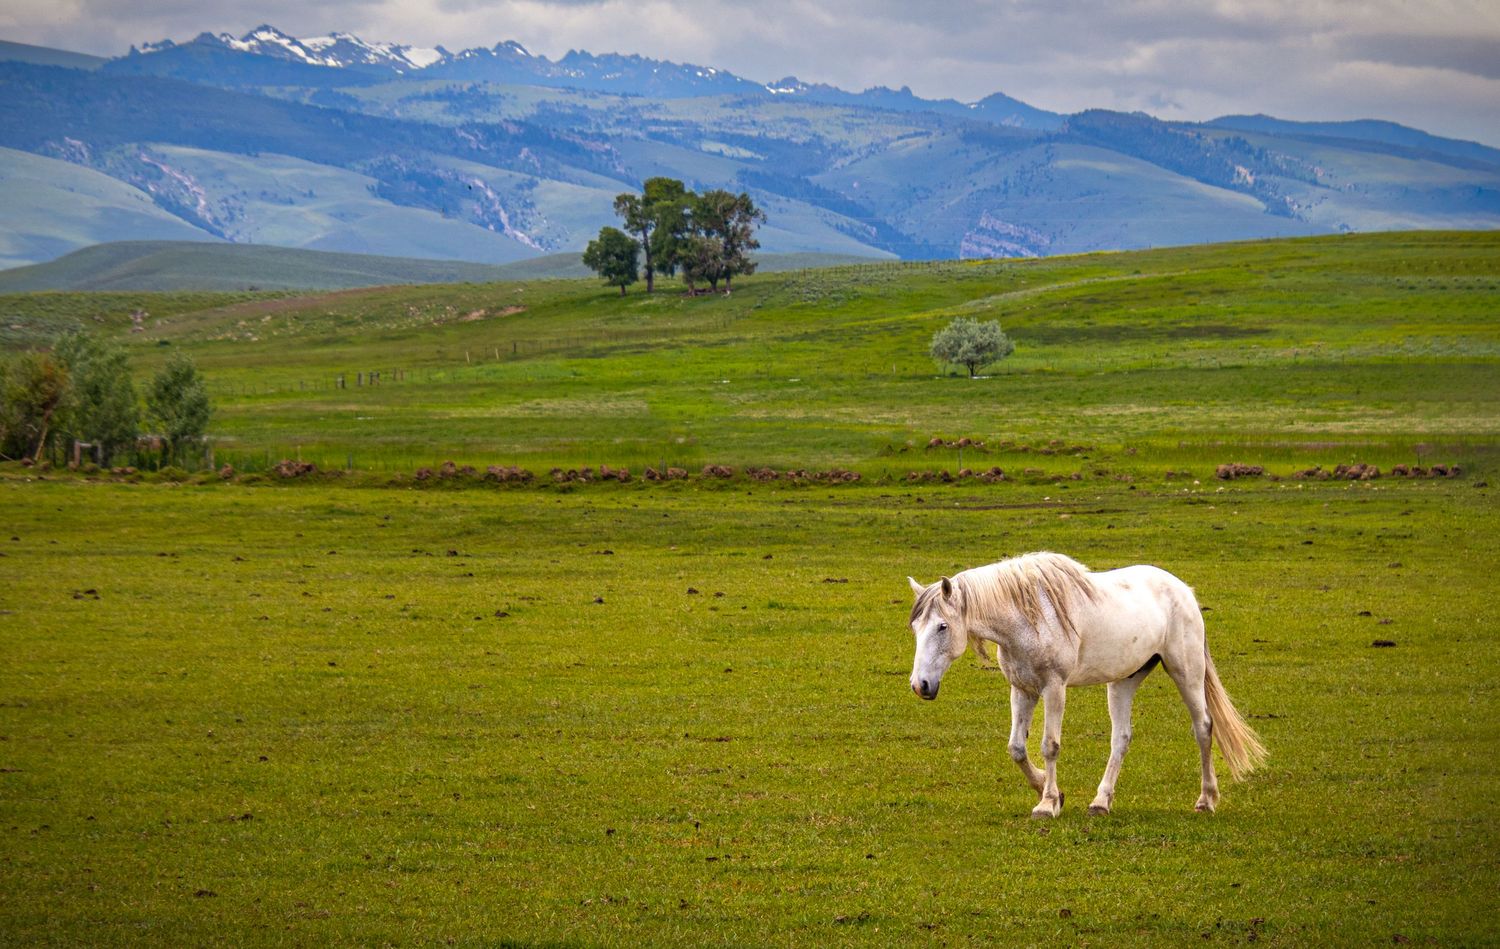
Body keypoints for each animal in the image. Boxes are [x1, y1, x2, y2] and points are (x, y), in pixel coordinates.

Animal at [907, 552, 1266, 816]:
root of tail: (1183, 591)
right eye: (915, 628)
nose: (920, 685)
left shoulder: (1054, 688)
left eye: (942, 626)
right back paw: (1101, 802)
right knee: (1121, 738)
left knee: (1204, 727)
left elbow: (1049, 745)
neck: (1027, 618)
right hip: (1123, 682)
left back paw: (1206, 800)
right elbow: (1017, 748)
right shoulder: (1022, 689)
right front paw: (1048, 790)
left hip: (1185, 671)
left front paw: (1047, 804)